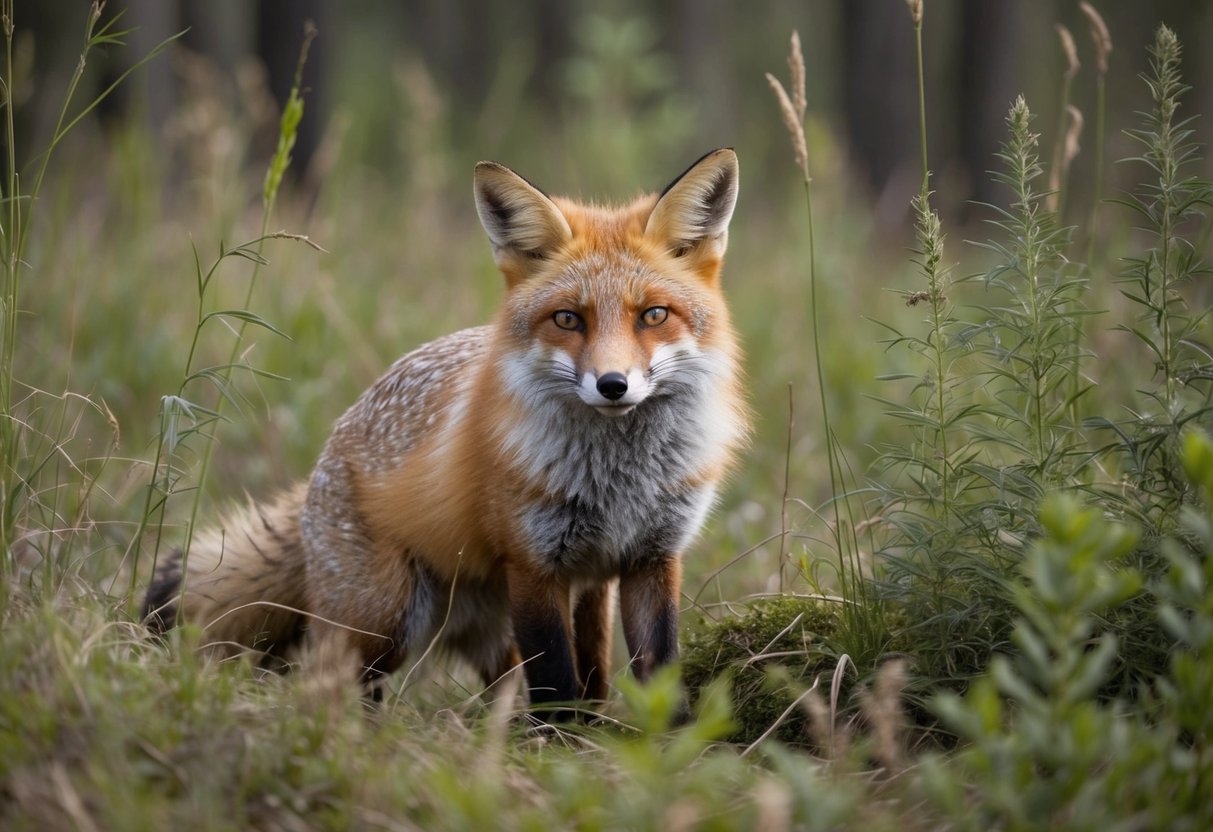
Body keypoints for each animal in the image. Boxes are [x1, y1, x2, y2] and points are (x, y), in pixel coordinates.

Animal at [143, 148, 749, 719]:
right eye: (567, 319)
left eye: (653, 315)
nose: (613, 385)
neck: (621, 483)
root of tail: (327, 454)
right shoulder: (533, 564)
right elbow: (555, 683)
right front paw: (562, 744)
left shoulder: (652, 558)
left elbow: (658, 671)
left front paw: (665, 744)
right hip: (387, 619)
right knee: (334, 684)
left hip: (534, 610)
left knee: (534, 679)